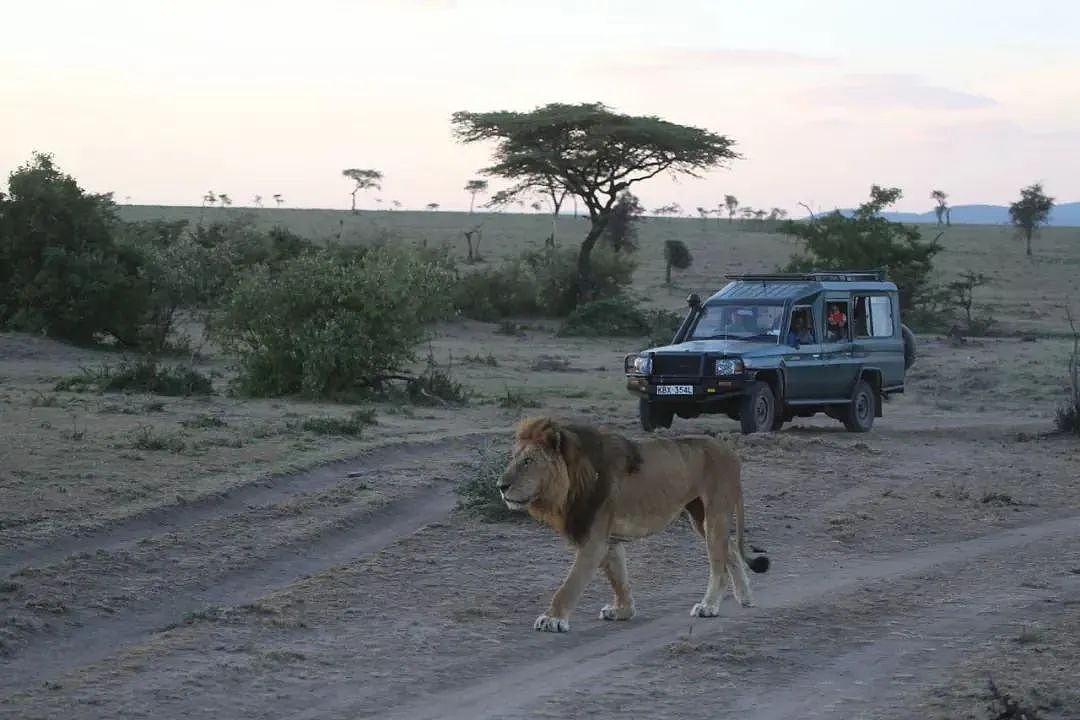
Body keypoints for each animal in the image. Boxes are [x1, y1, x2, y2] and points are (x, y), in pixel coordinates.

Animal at [496, 414, 768, 634]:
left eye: (528, 461)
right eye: (513, 458)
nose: (500, 485)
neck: (570, 482)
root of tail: (731, 452)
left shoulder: (594, 539)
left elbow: (570, 584)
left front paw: (552, 619)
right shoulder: (609, 538)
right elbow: (619, 578)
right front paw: (623, 611)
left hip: (715, 513)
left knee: (719, 564)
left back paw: (709, 605)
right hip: (699, 517)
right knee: (730, 548)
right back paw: (745, 597)